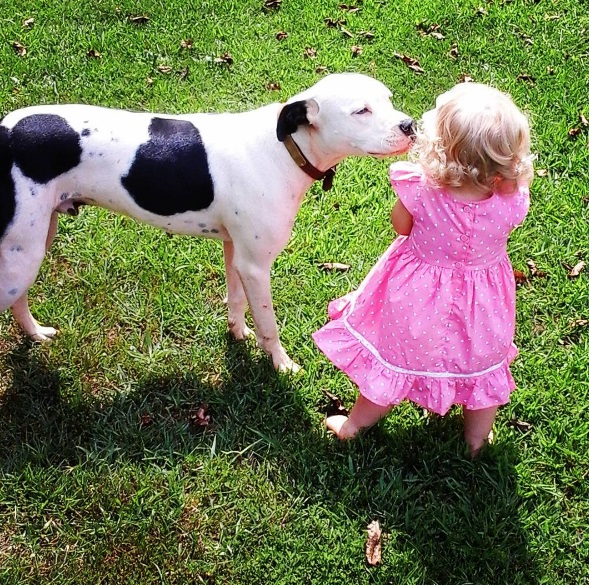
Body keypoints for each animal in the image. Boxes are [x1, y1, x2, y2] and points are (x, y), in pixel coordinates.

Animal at [1, 73, 414, 372]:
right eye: (361, 111)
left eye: (388, 100)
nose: (410, 125)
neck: (284, 147)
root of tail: (6, 132)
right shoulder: (256, 265)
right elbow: (268, 324)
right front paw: (281, 364)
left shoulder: (235, 252)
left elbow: (236, 300)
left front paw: (237, 332)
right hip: (23, 254)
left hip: (35, 240)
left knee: (20, 299)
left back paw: (35, 334)